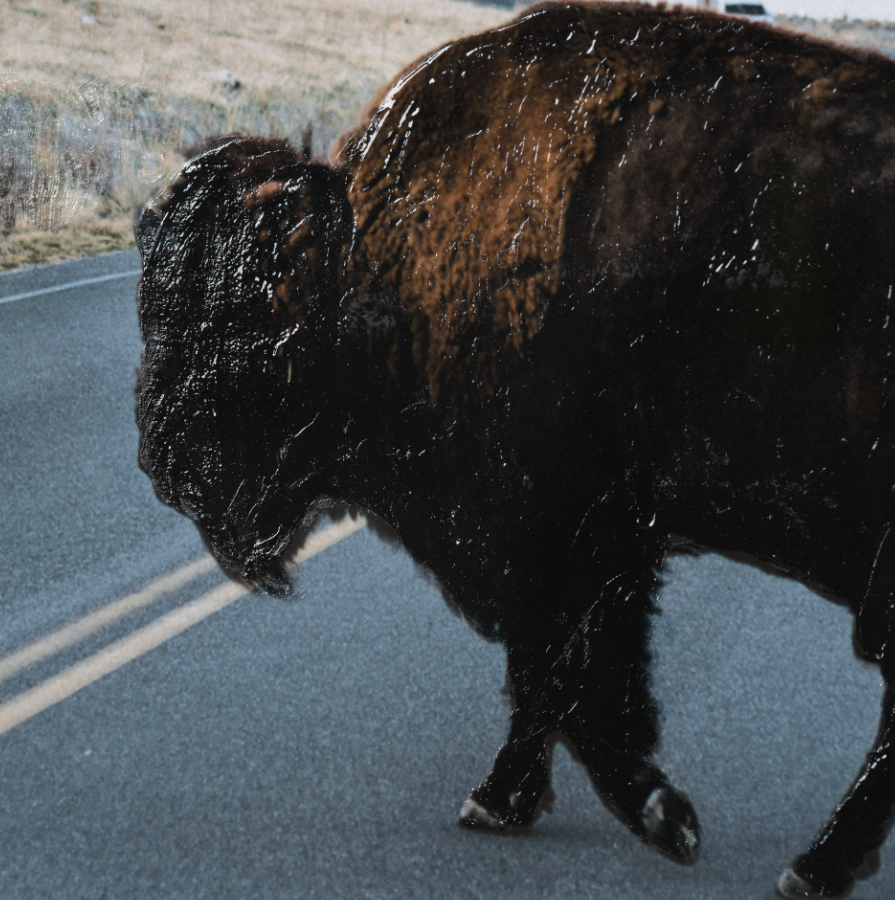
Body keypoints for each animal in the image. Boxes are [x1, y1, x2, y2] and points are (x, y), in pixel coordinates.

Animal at [135, 2, 895, 897]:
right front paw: (527, 801)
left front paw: (646, 815)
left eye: (228, 312)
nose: (163, 462)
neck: (359, 255)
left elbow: (559, 679)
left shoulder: (552, 537)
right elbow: (564, 685)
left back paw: (810, 867)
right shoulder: (598, 548)